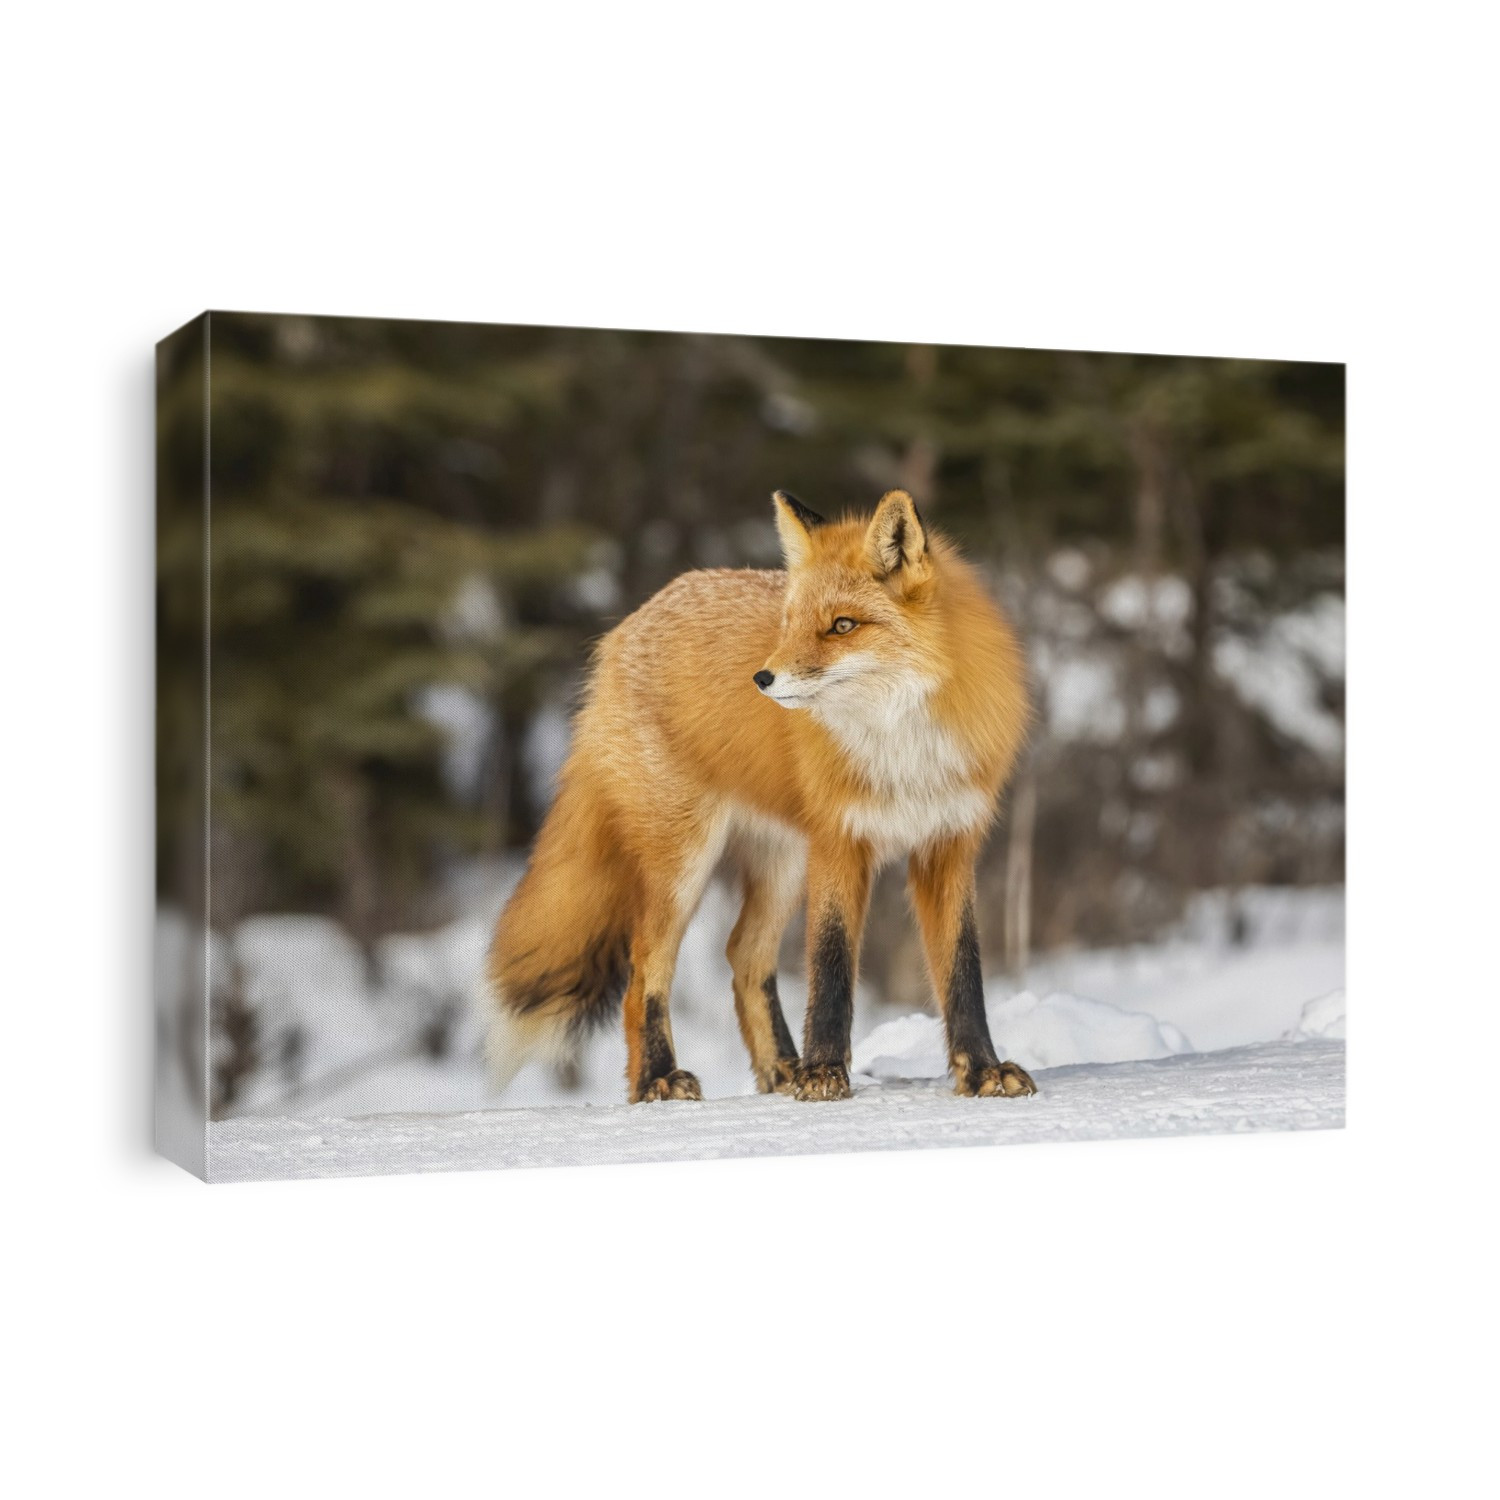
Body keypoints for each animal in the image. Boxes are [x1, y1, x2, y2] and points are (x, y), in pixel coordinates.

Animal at [485, 487, 1037, 1104]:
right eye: (790, 623)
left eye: (842, 625)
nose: (763, 680)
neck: (901, 751)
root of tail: (629, 623)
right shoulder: (839, 840)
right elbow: (831, 965)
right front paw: (824, 1072)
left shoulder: (948, 844)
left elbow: (964, 973)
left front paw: (983, 1071)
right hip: (684, 863)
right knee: (643, 969)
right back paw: (658, 1078)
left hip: (783, 862)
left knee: (743, 955)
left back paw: (781, 1069)